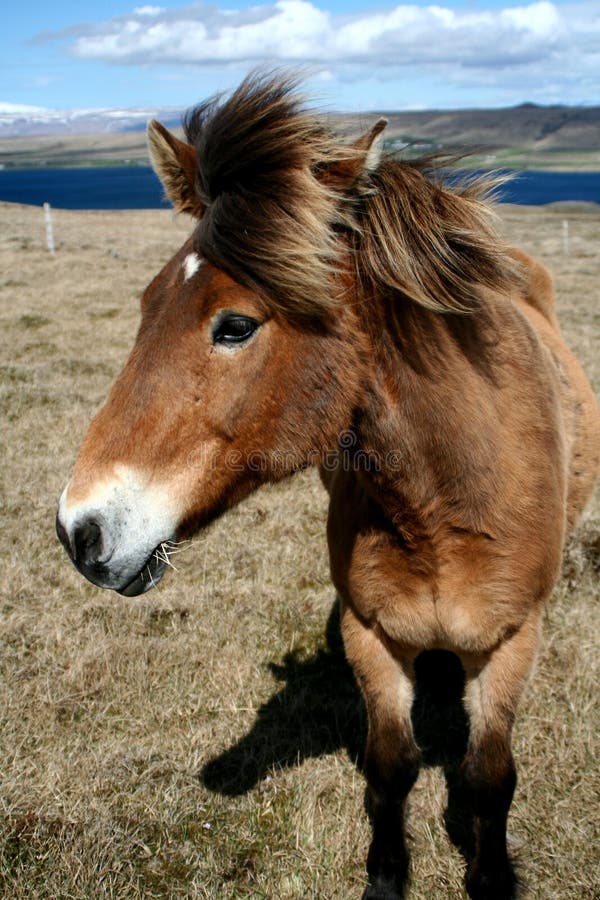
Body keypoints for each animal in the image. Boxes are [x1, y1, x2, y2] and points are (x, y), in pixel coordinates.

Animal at [55, 77, 596, 900]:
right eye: (146, 303)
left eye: (235, 325)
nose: (78, 531)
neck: (444, 504)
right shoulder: (369, 634)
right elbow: (391, 767)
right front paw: (386, 877)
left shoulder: (512, 640)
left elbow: (489, 776)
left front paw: (492, 875)